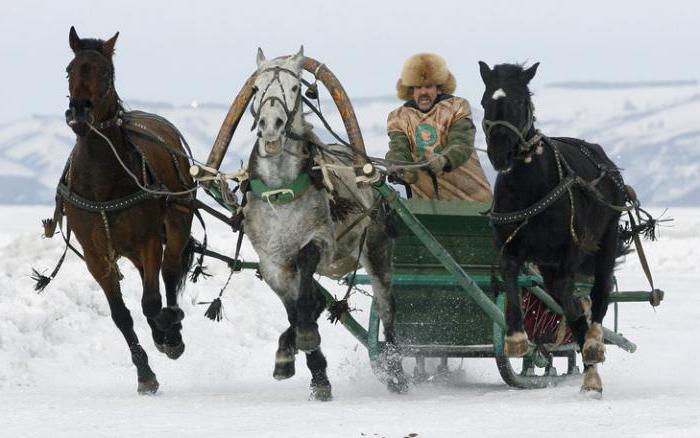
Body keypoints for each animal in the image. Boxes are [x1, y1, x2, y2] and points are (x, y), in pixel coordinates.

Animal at [57, 28, 197, 394]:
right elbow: (121, 315)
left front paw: (168, 333)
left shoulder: (148, 239)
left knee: (170, 270)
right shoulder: (96, 255)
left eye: (106, 72)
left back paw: (171, 328)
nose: (79, 113)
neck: (103, 179)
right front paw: (145, 373)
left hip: (178, 219)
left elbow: (151, 302)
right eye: (69, 70)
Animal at [242, 48, 408, 400]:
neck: (281, 192)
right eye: (256, 88)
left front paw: (307, 342)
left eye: (295, 88)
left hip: (376, 248)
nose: (271, 126)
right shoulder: (272, 263)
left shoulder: (319, 240)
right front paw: (309, 368)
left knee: (387, 306)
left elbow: (305, 298)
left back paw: (396, 372)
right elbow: (294, 309)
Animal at [478, 60, 628, 394]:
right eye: (484, 102)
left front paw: (589, 345)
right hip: (547, 263)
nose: (499, 154)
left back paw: (593, 345)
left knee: (599, 291)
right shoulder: (511, 246)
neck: (530, 186)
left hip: (606, 240)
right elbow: (511, 276)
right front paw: (516, 337)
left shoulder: (571, 251)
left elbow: (571, 298)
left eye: (520, 101)